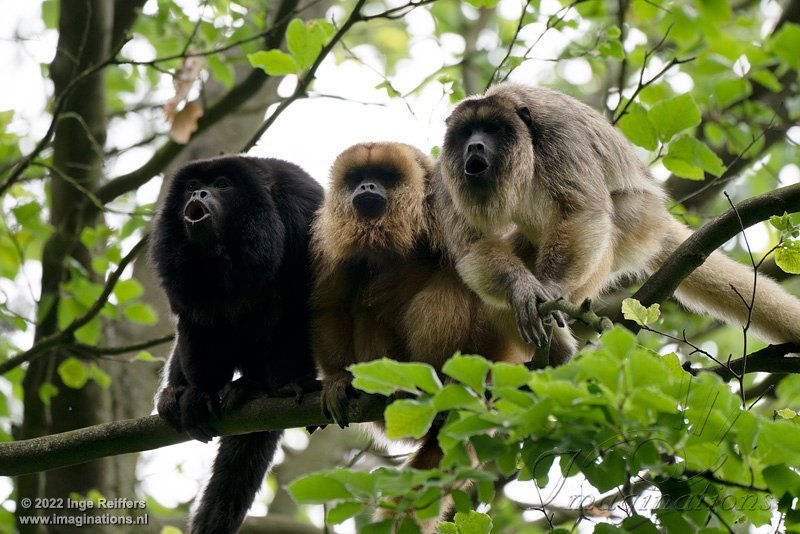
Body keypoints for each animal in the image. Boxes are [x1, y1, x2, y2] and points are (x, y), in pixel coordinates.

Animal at [150, 155, 323, 534]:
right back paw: (175, 393)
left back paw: (254, 386)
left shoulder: (300, 216)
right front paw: (199, 394)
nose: (198, 193)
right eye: (191, 186)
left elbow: (298, 306)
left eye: (222, 184)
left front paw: (289, 383)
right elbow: (196, 321)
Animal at [435, 82, 800, 354]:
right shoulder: (445, 173)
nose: (475, 147)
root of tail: (660, 217)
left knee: (609, 220)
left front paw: (551, 290)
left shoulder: (559, 136)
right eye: (467, 132)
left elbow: (583, 212)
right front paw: (522, 289)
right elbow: (475, 246)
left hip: (640, 221)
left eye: (492, 129)